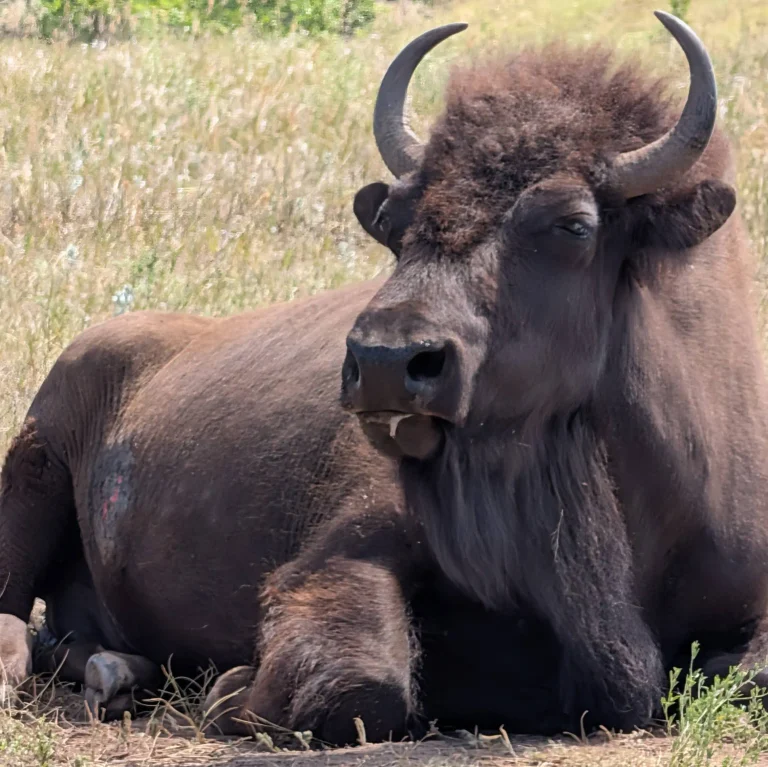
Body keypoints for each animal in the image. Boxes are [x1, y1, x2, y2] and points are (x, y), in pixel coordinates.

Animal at [2, 10, 768, 746]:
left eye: (573, 224)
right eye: (396, 223)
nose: (383, 363)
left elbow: (744, 673)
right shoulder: (350, 545)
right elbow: (362, 682)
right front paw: (229, 686)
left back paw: (117, 673)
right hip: (33, 464)